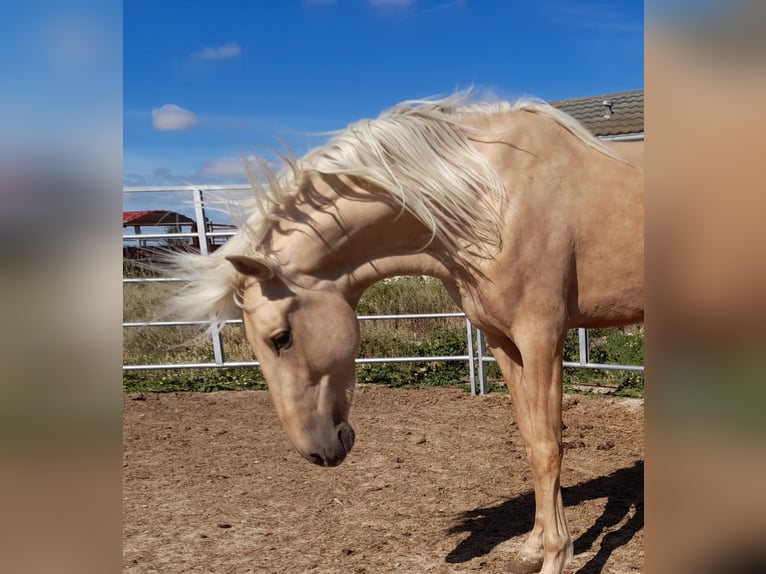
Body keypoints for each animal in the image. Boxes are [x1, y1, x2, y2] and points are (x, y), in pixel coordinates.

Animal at [171, 94, 644, 574]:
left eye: (280, 337)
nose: (319, 452)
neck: (492, 198)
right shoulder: (502, 341)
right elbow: (531, 440)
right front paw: (532, 548)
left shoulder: (541, 336)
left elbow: (549, 445)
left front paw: (555, 557)